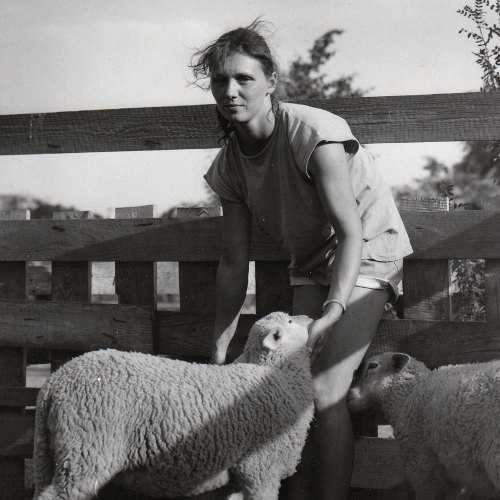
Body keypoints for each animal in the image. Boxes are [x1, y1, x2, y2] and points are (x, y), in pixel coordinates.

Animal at [32, 312, 312, 500]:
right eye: (289, 322)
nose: (308, 317)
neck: (282, 377)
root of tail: (53, 384)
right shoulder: (260, 467)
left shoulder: (237, 475)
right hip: (87, 451)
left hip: (54, 454)